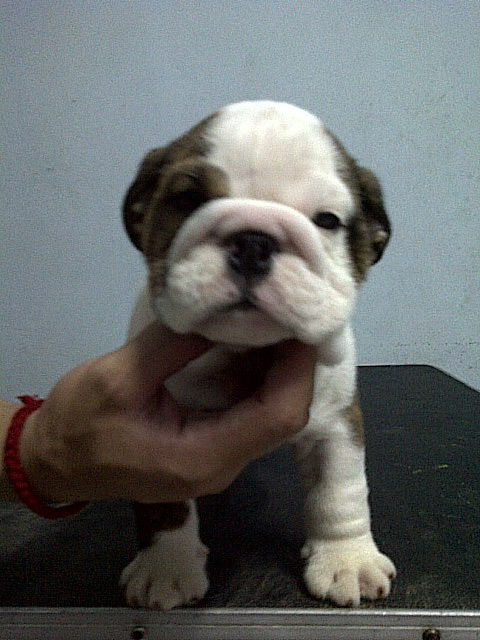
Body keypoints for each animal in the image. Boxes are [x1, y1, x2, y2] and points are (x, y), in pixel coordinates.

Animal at [119, 101, 396, 609]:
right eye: (188, 200)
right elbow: (165, 504)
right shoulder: (152, 435)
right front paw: (166, 566)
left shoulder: (338, 420)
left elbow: (340, 490)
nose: (253, 240)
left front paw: (346, 559)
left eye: (327, 220)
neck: (244, 348)